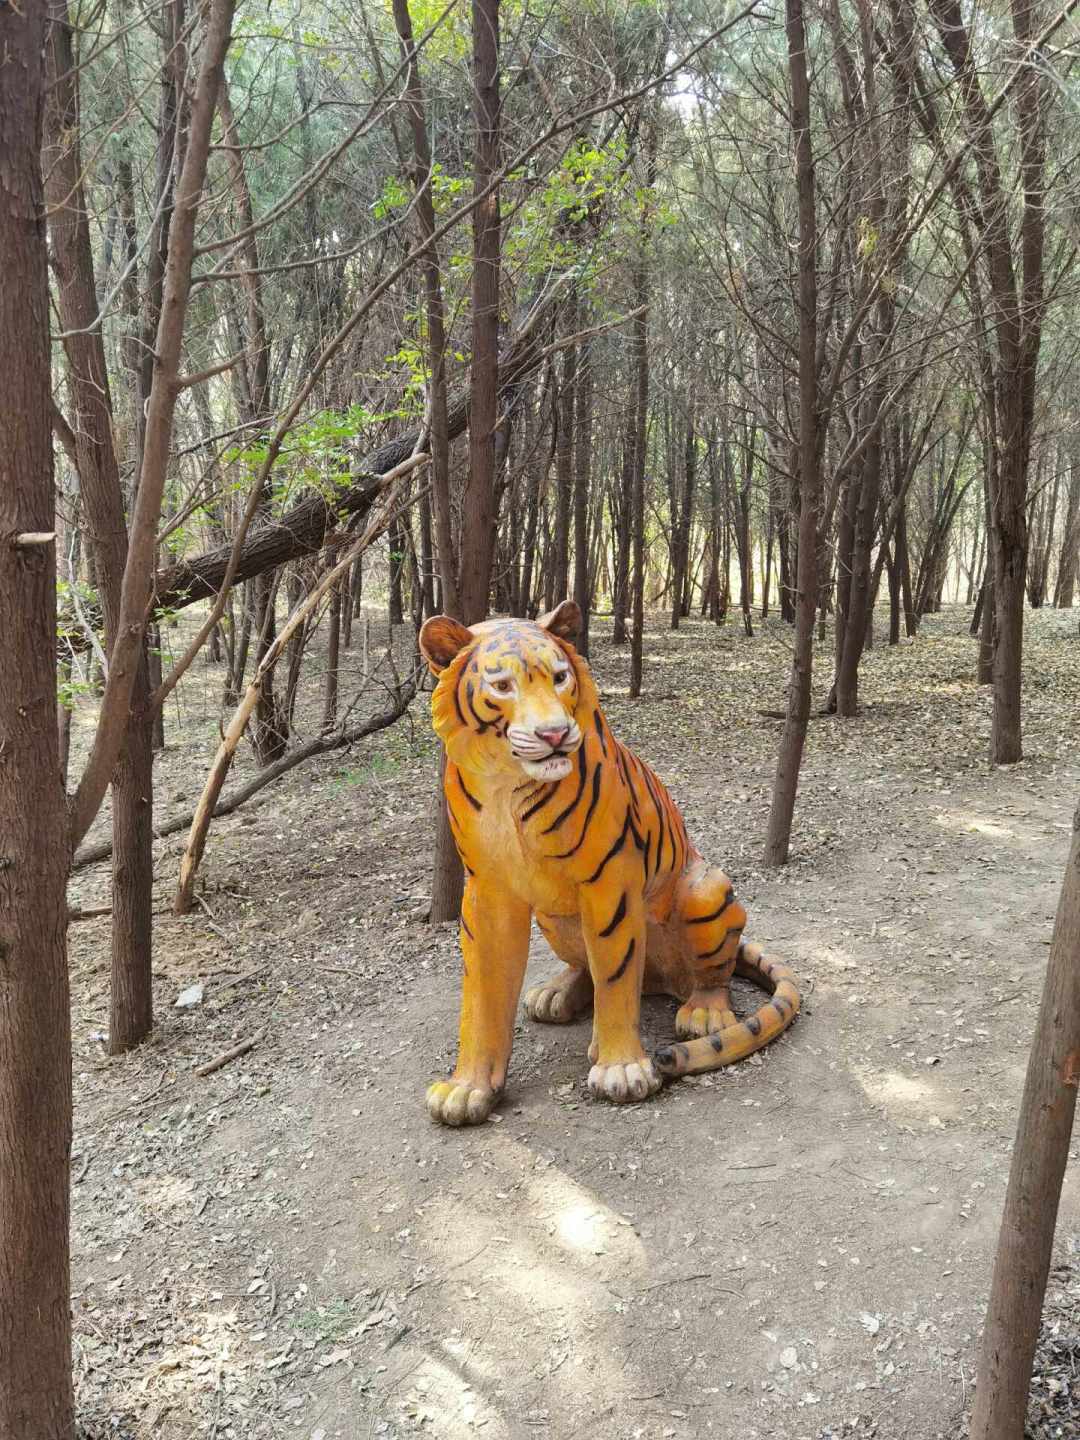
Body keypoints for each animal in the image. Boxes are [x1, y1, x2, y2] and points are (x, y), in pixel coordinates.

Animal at [419, 600, 800, 1127]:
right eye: (502, 686)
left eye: (560, 677)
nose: (554, 733)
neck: (507, 787)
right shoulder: (488, 890)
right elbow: (482, 995)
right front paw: (467, 1088)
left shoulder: (608, 881)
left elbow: (616, 976)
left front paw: (622, 1068)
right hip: (553, 917)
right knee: (588, 970)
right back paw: (556, 995)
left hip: (705, 888)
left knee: (705, 978)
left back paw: (702, 1014)